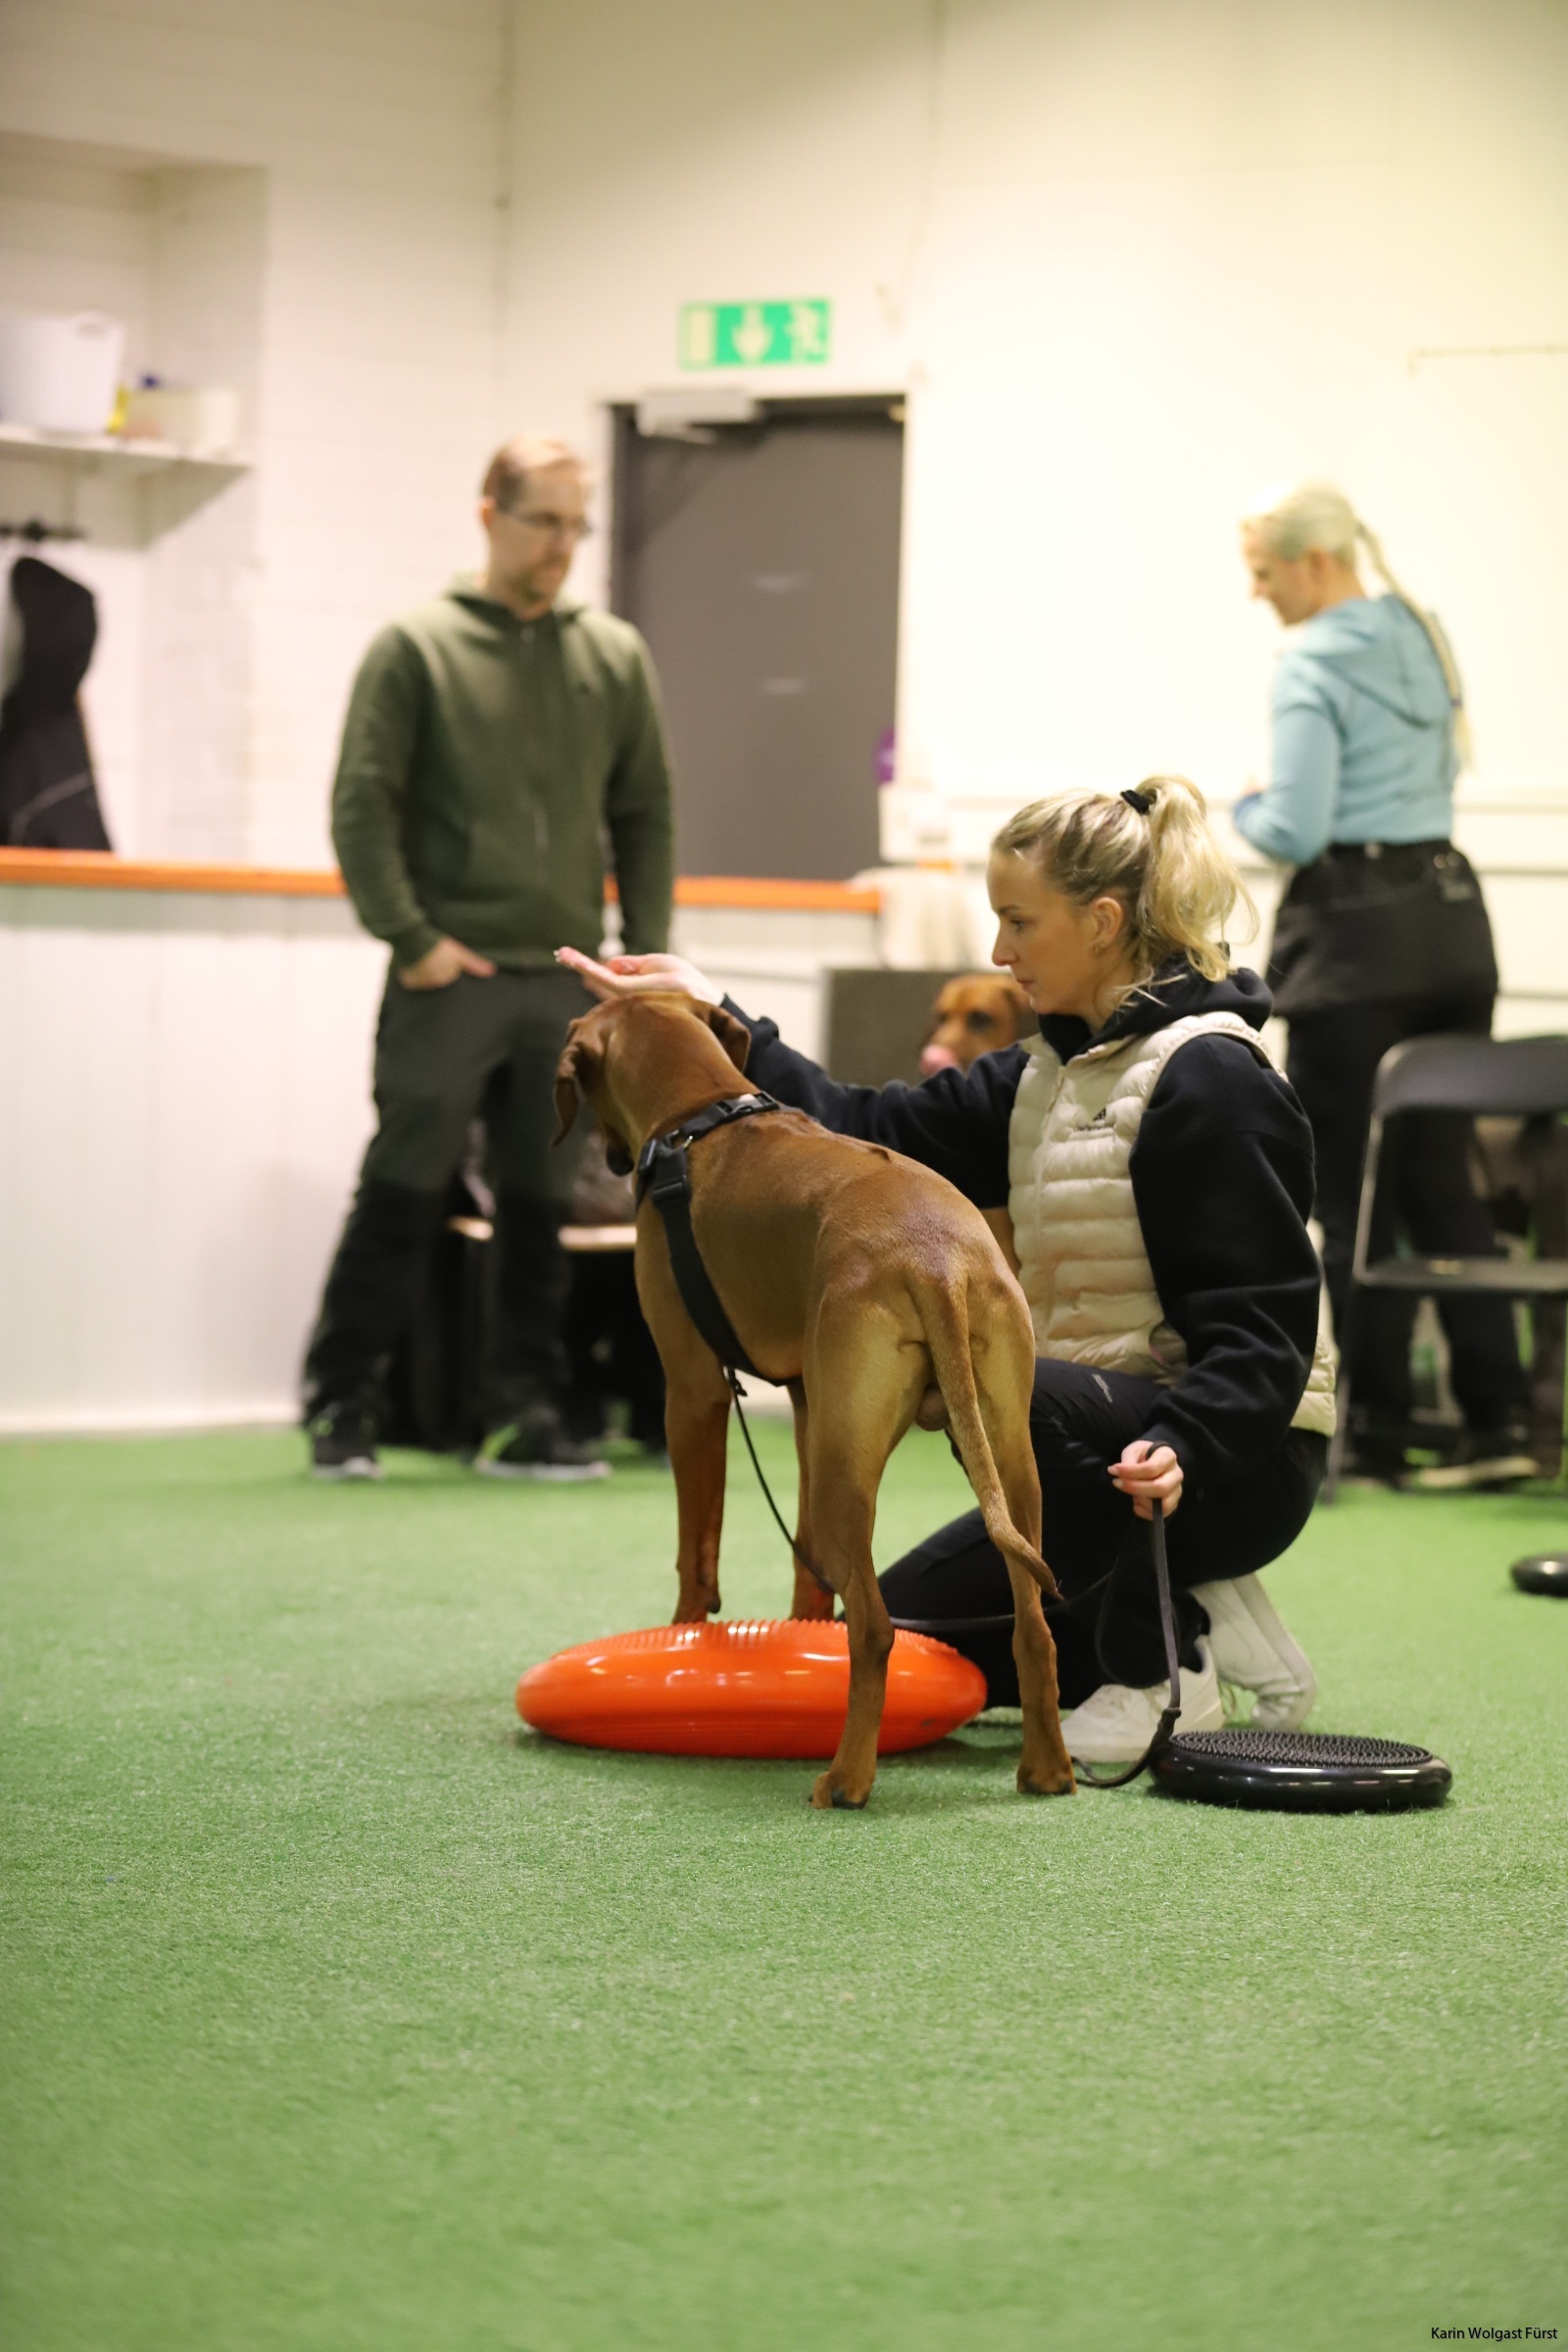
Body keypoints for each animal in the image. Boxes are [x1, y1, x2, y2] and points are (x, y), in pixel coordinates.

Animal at [552, 992, 1074, 1811]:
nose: (601, 1163)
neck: (702, 1113)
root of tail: (935, 1259)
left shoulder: (691, 1394)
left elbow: (696, 1552)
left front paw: (680, 1634)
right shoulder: (808, 1402)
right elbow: (802, 1573)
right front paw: (800, 1638)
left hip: (846, 1481)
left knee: (874, 1627)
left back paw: (847, 1779)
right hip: (998, 1465)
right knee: (1032, 1625)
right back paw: (1046, 1769)